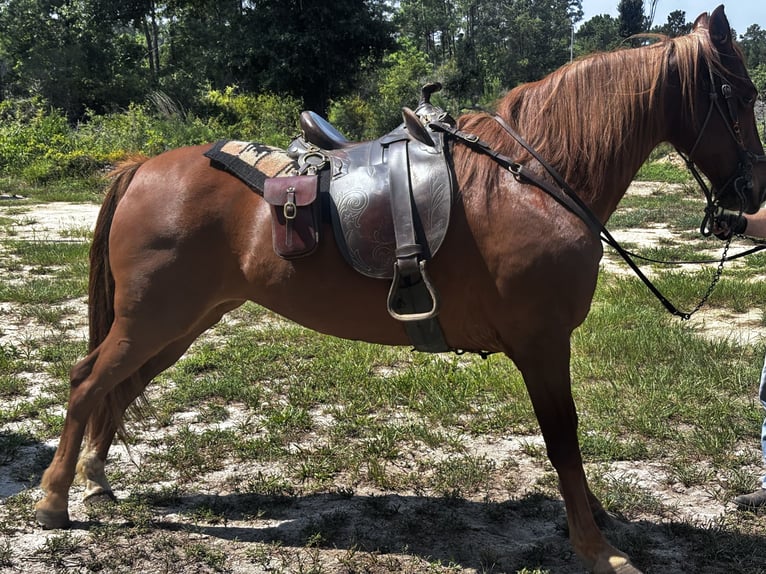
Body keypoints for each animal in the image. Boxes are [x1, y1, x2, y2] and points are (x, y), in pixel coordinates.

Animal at [34, 6, 766, 574]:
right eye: (738, 96)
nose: (751, 192)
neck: (531, 179)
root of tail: (141, 168)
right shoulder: (542, 343)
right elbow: (564, 440)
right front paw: (596, 546)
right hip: (153, 320)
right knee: (87, 381)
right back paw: (53, 499)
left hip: (183, 322)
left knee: (118, 387)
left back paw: (94, 479)